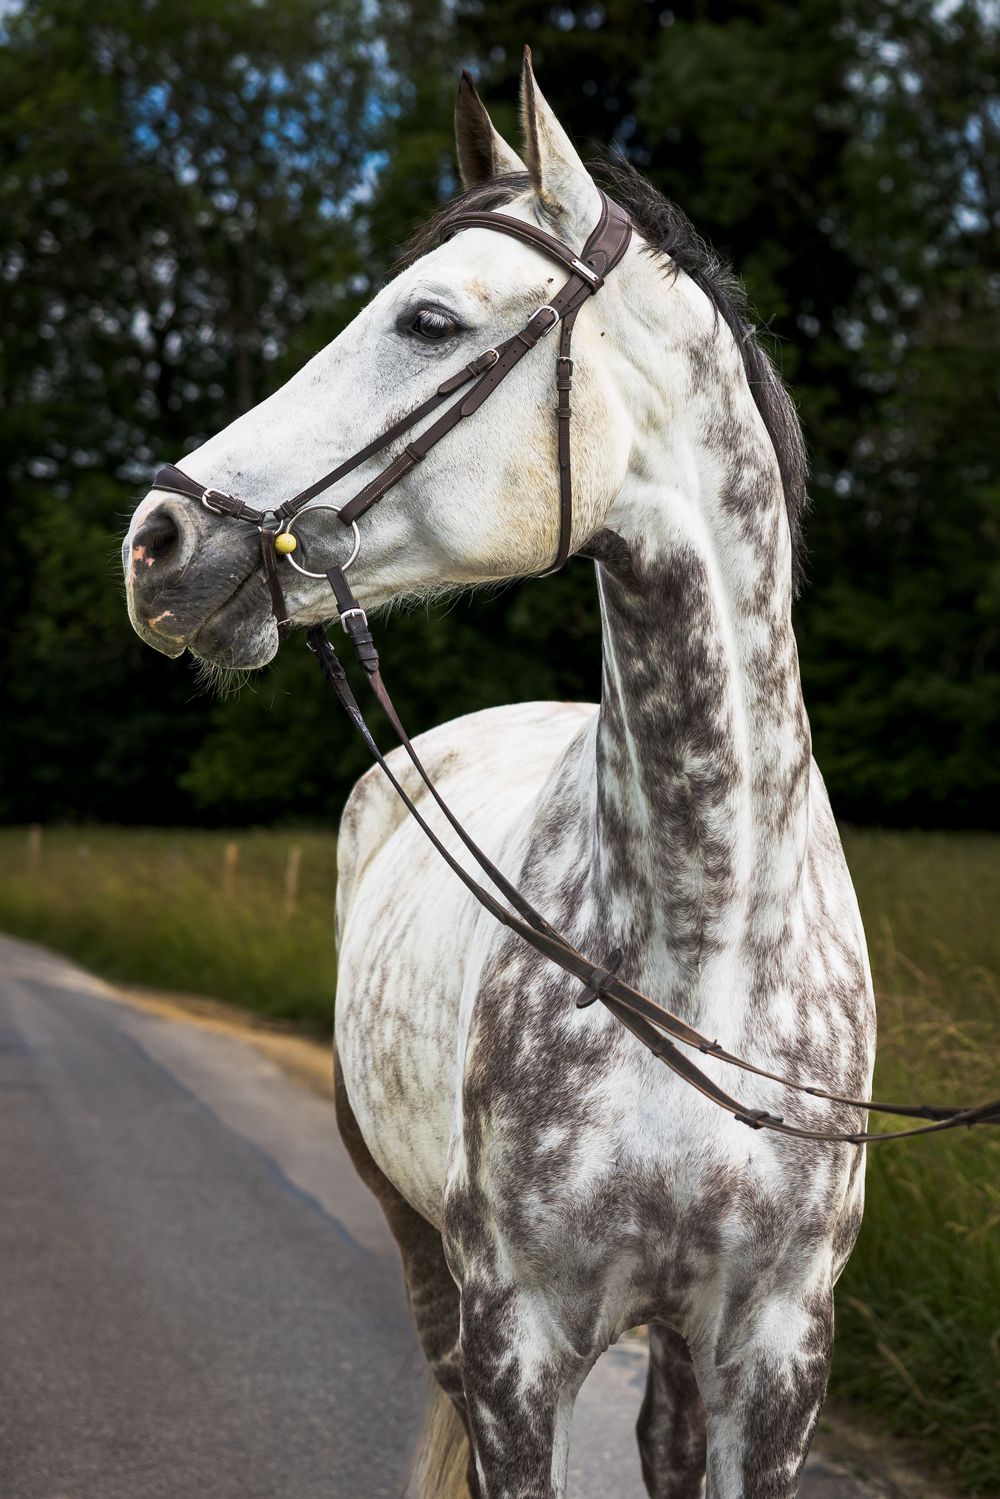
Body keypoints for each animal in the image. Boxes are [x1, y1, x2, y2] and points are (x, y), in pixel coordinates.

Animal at [124, 54, 876, 1499]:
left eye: (426, 320)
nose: (158, 540)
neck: (704, 945)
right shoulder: (518, 1341)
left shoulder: (777, 1354)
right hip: (418, 1244)